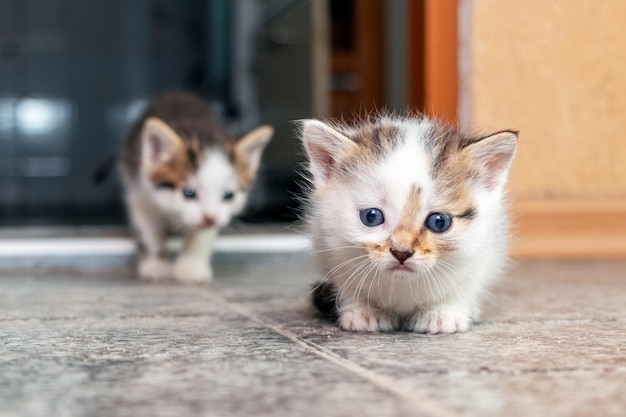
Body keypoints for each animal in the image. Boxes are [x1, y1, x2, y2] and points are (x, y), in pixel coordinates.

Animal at [118, 89, 272, 282]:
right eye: (189, 193)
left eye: (228, 195)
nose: (210, 218)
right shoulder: (139, 193)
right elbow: (147, 230)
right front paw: (157, 264)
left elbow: (201, 236)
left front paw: (191, 268)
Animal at [300, 115, 516, 334]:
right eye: (371, 217)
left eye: (439, 222)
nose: (401, 252)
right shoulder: (329, 246)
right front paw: (364, 310)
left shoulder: (484, 252)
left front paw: (443, 312)